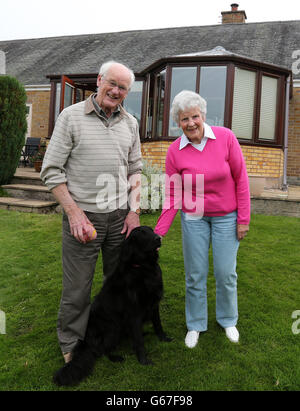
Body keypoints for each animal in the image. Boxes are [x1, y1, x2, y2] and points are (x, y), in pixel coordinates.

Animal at [52, 225, 170, 386]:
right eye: (141, 233)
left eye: (151, 230)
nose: (158, 238)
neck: (143, 267)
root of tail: (85, 342)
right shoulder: (134, 312)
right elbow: (139, 341)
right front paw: (143, 360)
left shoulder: (154, 303)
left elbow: (158, 324)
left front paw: (163, 338)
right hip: (113, 327)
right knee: (102, 350)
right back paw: (116, 357)